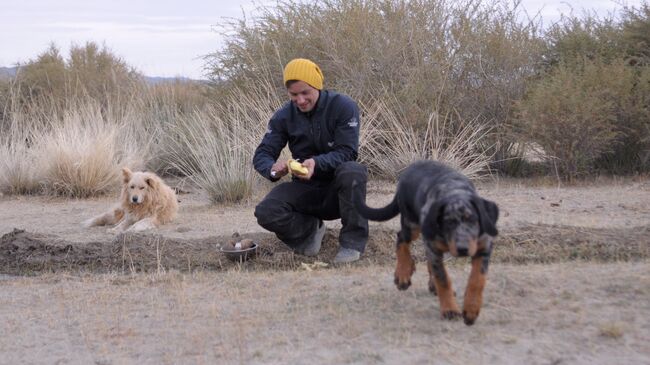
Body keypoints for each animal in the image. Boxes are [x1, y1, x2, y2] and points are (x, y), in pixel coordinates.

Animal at [354, 159, 496, 324]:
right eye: (448, 223)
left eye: (473, 219)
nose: (462, 248)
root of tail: (410, 168)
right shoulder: (433, 246)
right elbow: (443, 279)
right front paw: (450, 310)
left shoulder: (484, 246)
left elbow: (477, 279)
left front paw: (471, 308)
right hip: (411, 224)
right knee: (401, 239)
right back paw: (403, 274)